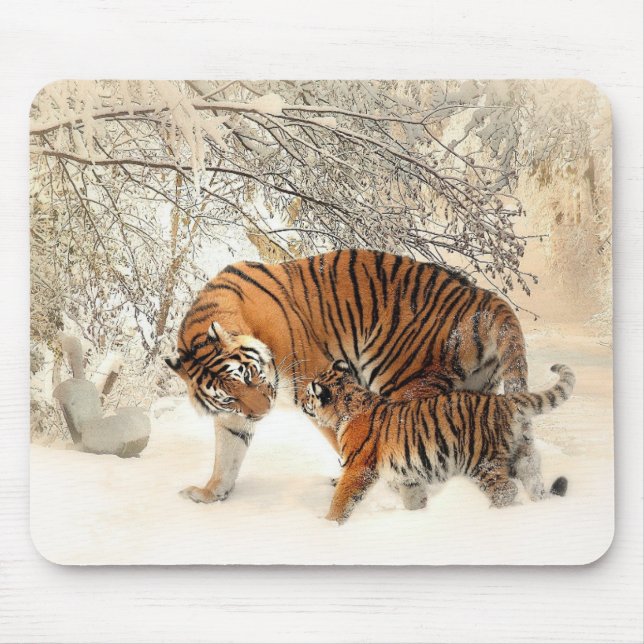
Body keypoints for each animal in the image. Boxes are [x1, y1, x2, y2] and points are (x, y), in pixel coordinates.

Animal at [165, 249, 546, 506]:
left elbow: (348, 440)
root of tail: (482, 296)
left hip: (406, 383)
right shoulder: (234, 416)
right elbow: (227, 453)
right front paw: (210, 493)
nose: (262, 413)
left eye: (248, 375)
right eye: (228, 396)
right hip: (476, 391)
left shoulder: (314, 382)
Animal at [304, 360, 574, 524]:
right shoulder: (408, 475)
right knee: (534, 482)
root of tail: (504, 401)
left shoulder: (358, 468)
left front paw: (328, 525)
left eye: (309, 394)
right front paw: (418, 517)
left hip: (482, 462)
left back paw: (493, 515)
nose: (303, 402)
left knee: (506, 491)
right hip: (525, 455)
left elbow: (342, 499)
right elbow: (413, 499)